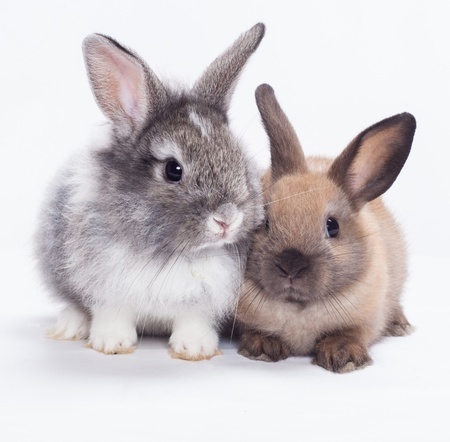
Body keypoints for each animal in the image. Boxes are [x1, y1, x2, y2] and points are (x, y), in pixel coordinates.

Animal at [37, 24, 268, 360]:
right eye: (173, 169)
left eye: (238, 156)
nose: (227, 219)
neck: (174, 253)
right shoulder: (109, 290)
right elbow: (112, 315)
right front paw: (111, 343)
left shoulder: (202, 302)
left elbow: (193, 321)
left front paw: (195, 349)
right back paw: (68, 326)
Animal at [237, 83, 416, 372]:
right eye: (265, 222)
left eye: (332, 226)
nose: (290, 265)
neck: (299, 308)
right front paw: (263, 348)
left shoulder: (364, 321)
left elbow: (349, 334)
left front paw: (344, 357)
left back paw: (400, 325)